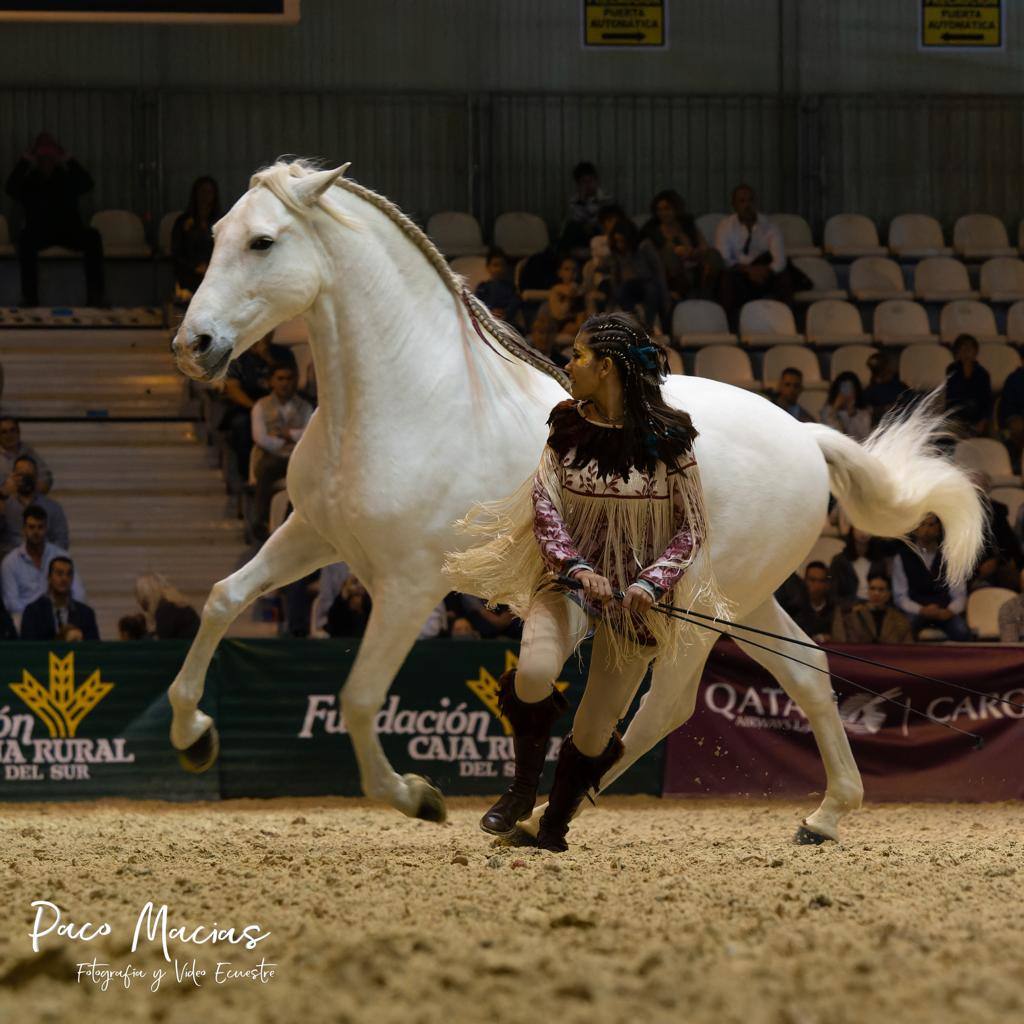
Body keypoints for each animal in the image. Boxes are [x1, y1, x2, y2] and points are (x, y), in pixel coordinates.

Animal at [169, 159, 983, 843]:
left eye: (264, 242)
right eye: (213, 236)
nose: (193, 345)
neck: (415, 397)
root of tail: (806, 436)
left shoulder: (407, 586)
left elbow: (361, 697)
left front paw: (416, 797)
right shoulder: (314, 536)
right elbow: (222, 599)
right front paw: (194, 735)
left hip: (697, 610)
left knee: (667, 704)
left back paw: (559, 805)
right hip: (744, 601)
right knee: (809, 672)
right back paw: (823, 815)